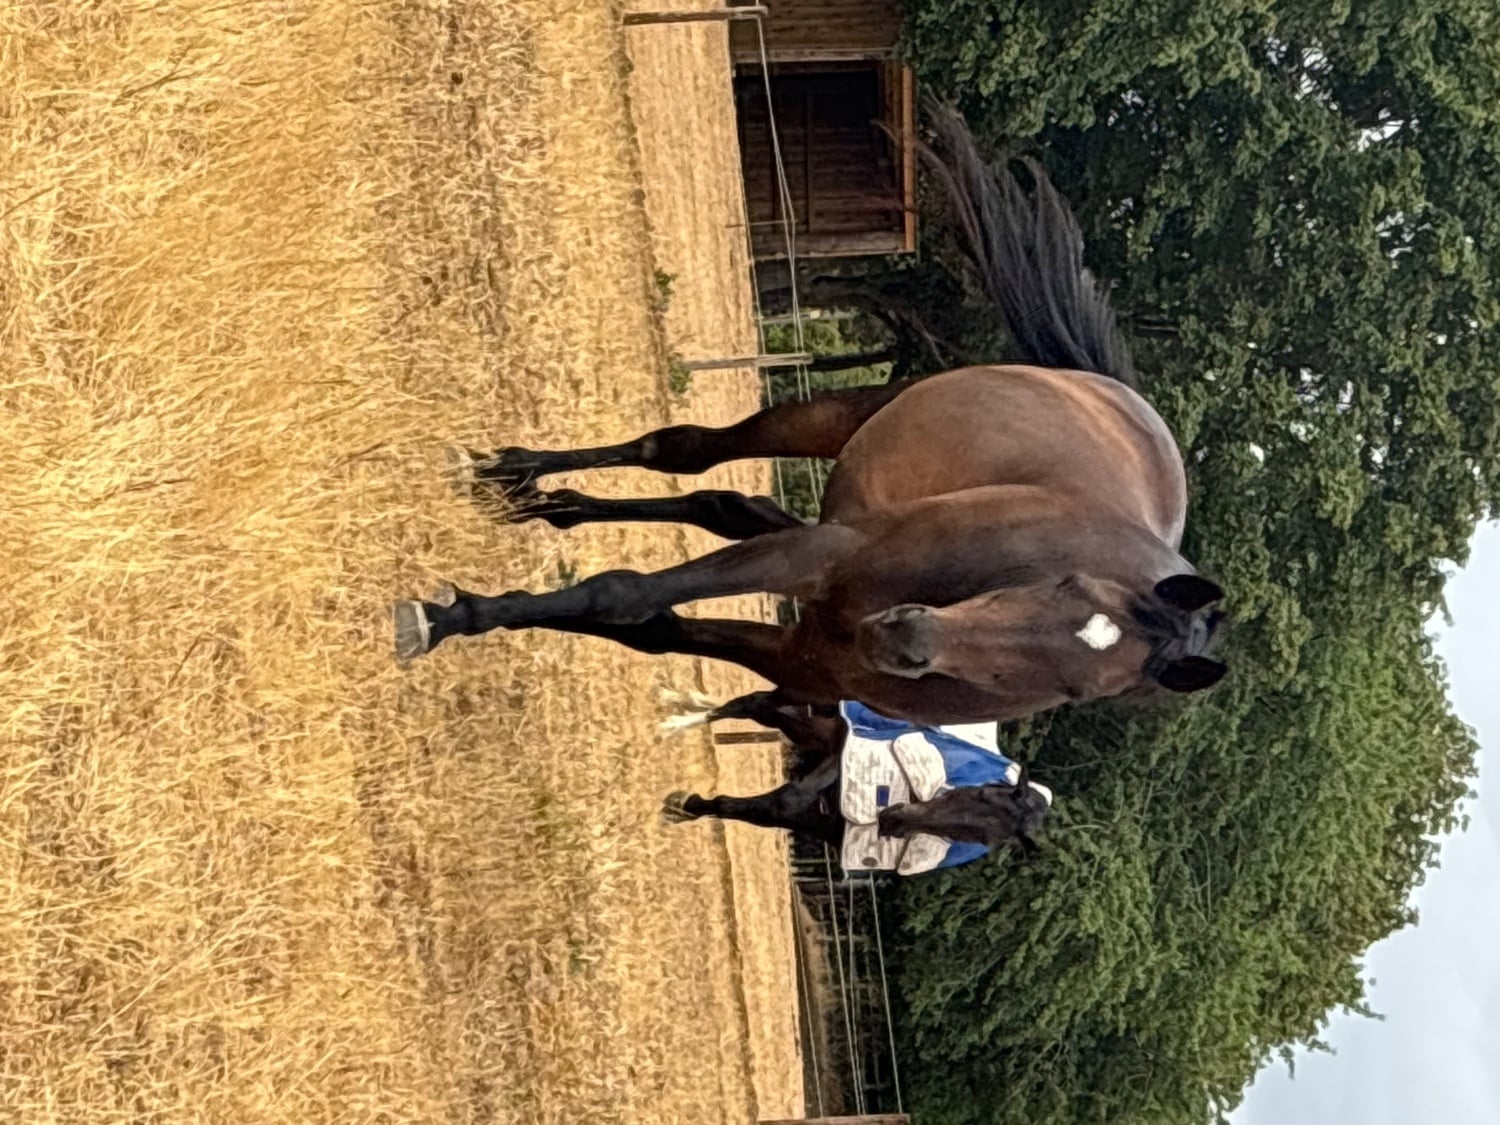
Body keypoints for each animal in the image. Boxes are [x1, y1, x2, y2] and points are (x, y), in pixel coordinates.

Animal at [392, 101, 1227, 727]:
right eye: (1065, 587)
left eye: (1082, 687)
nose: (907, 637)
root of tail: (1112, 390)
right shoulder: (815, 556)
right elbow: (625, 592)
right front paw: (447, 616)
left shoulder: (797, 657)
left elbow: (650, 623)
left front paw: (477, 611)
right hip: (832, 416)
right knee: (685, 450)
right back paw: (517, 470)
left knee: (723, 502)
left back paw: (546, 501)